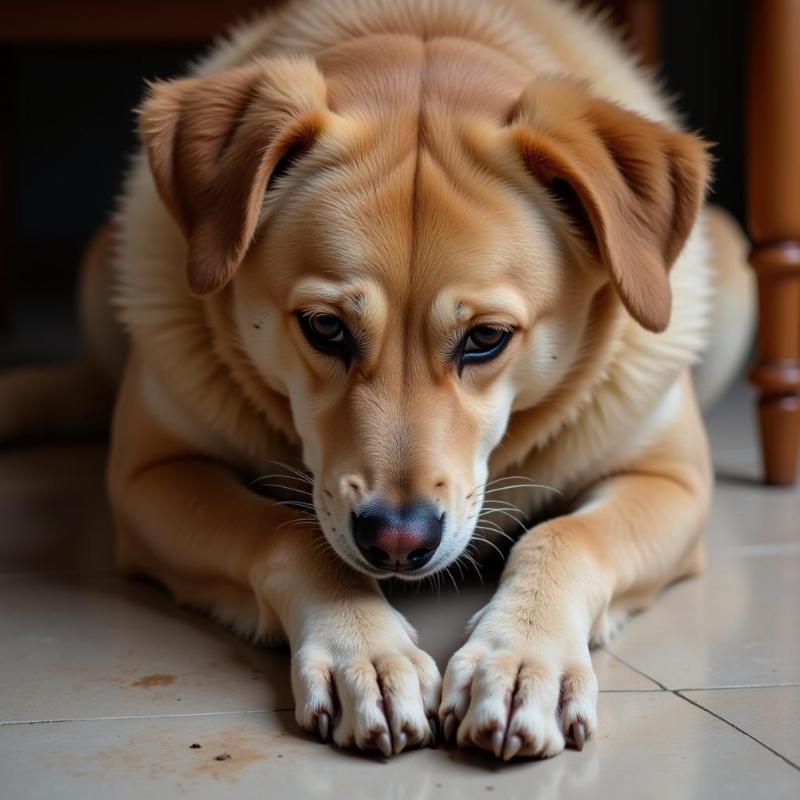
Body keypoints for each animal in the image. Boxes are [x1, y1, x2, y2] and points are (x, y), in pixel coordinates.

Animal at [0, 0, 752, 764]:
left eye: (487, 338)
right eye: (325, 327)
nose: (396, 541)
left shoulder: (671, 482)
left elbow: (566, 538)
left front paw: (517, 662)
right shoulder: (149, 476)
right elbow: (286, 530)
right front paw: (365, 654)